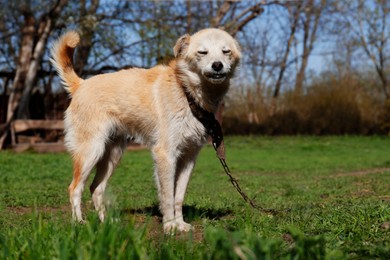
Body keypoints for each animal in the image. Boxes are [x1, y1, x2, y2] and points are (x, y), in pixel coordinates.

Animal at [50, 28, 241, 234]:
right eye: (202, 52)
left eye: (226, 51)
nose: (217, 65)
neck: (186, 92)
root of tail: (81, 84)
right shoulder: (165, 155)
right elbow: (168, 196)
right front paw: (170, 226)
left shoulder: (189, 158)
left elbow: (178, 196)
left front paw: (180, 224)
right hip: (91, 152)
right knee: (75, 188)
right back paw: (79, 222)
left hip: (112, 155)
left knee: (96, 188)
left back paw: (106, 222)